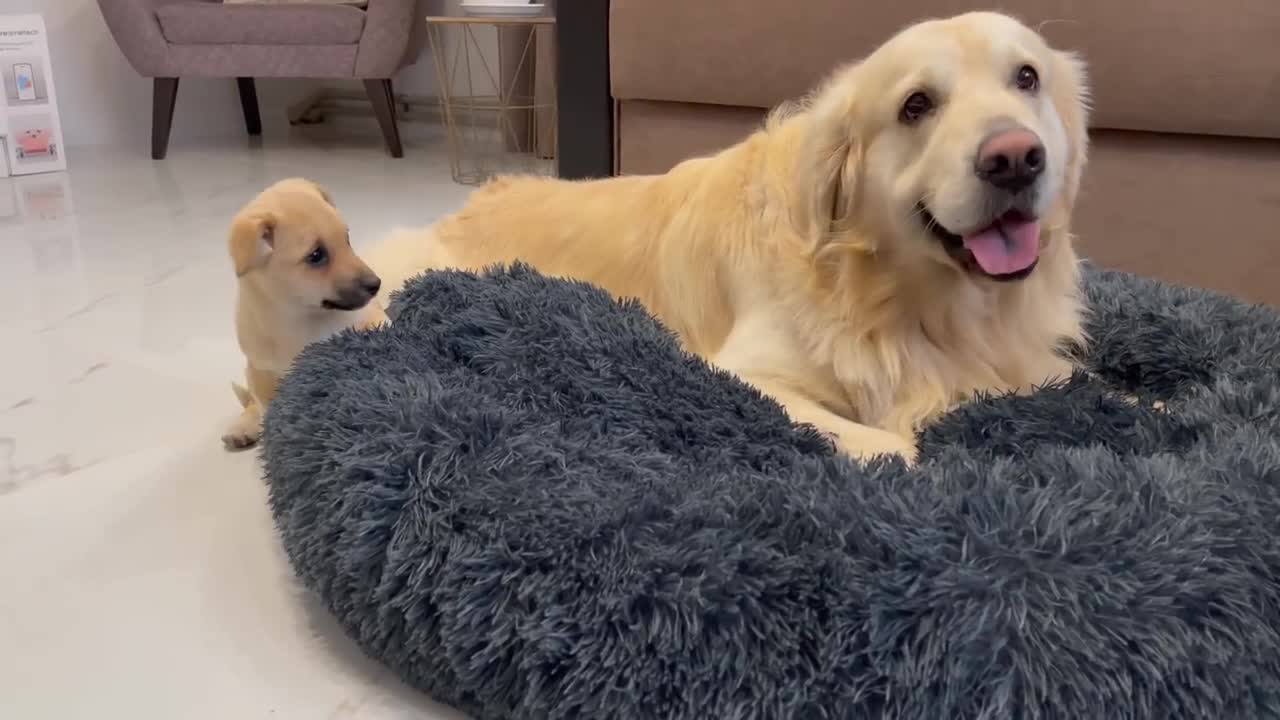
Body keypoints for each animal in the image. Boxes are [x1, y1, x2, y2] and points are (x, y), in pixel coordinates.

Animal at [224, 178, 384, 448]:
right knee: (253, 403)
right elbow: (268, 409)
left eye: (347, 239)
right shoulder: (263, 372)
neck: (300, 317)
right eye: (316, 256)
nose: (376, 285)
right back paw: (244, 425)